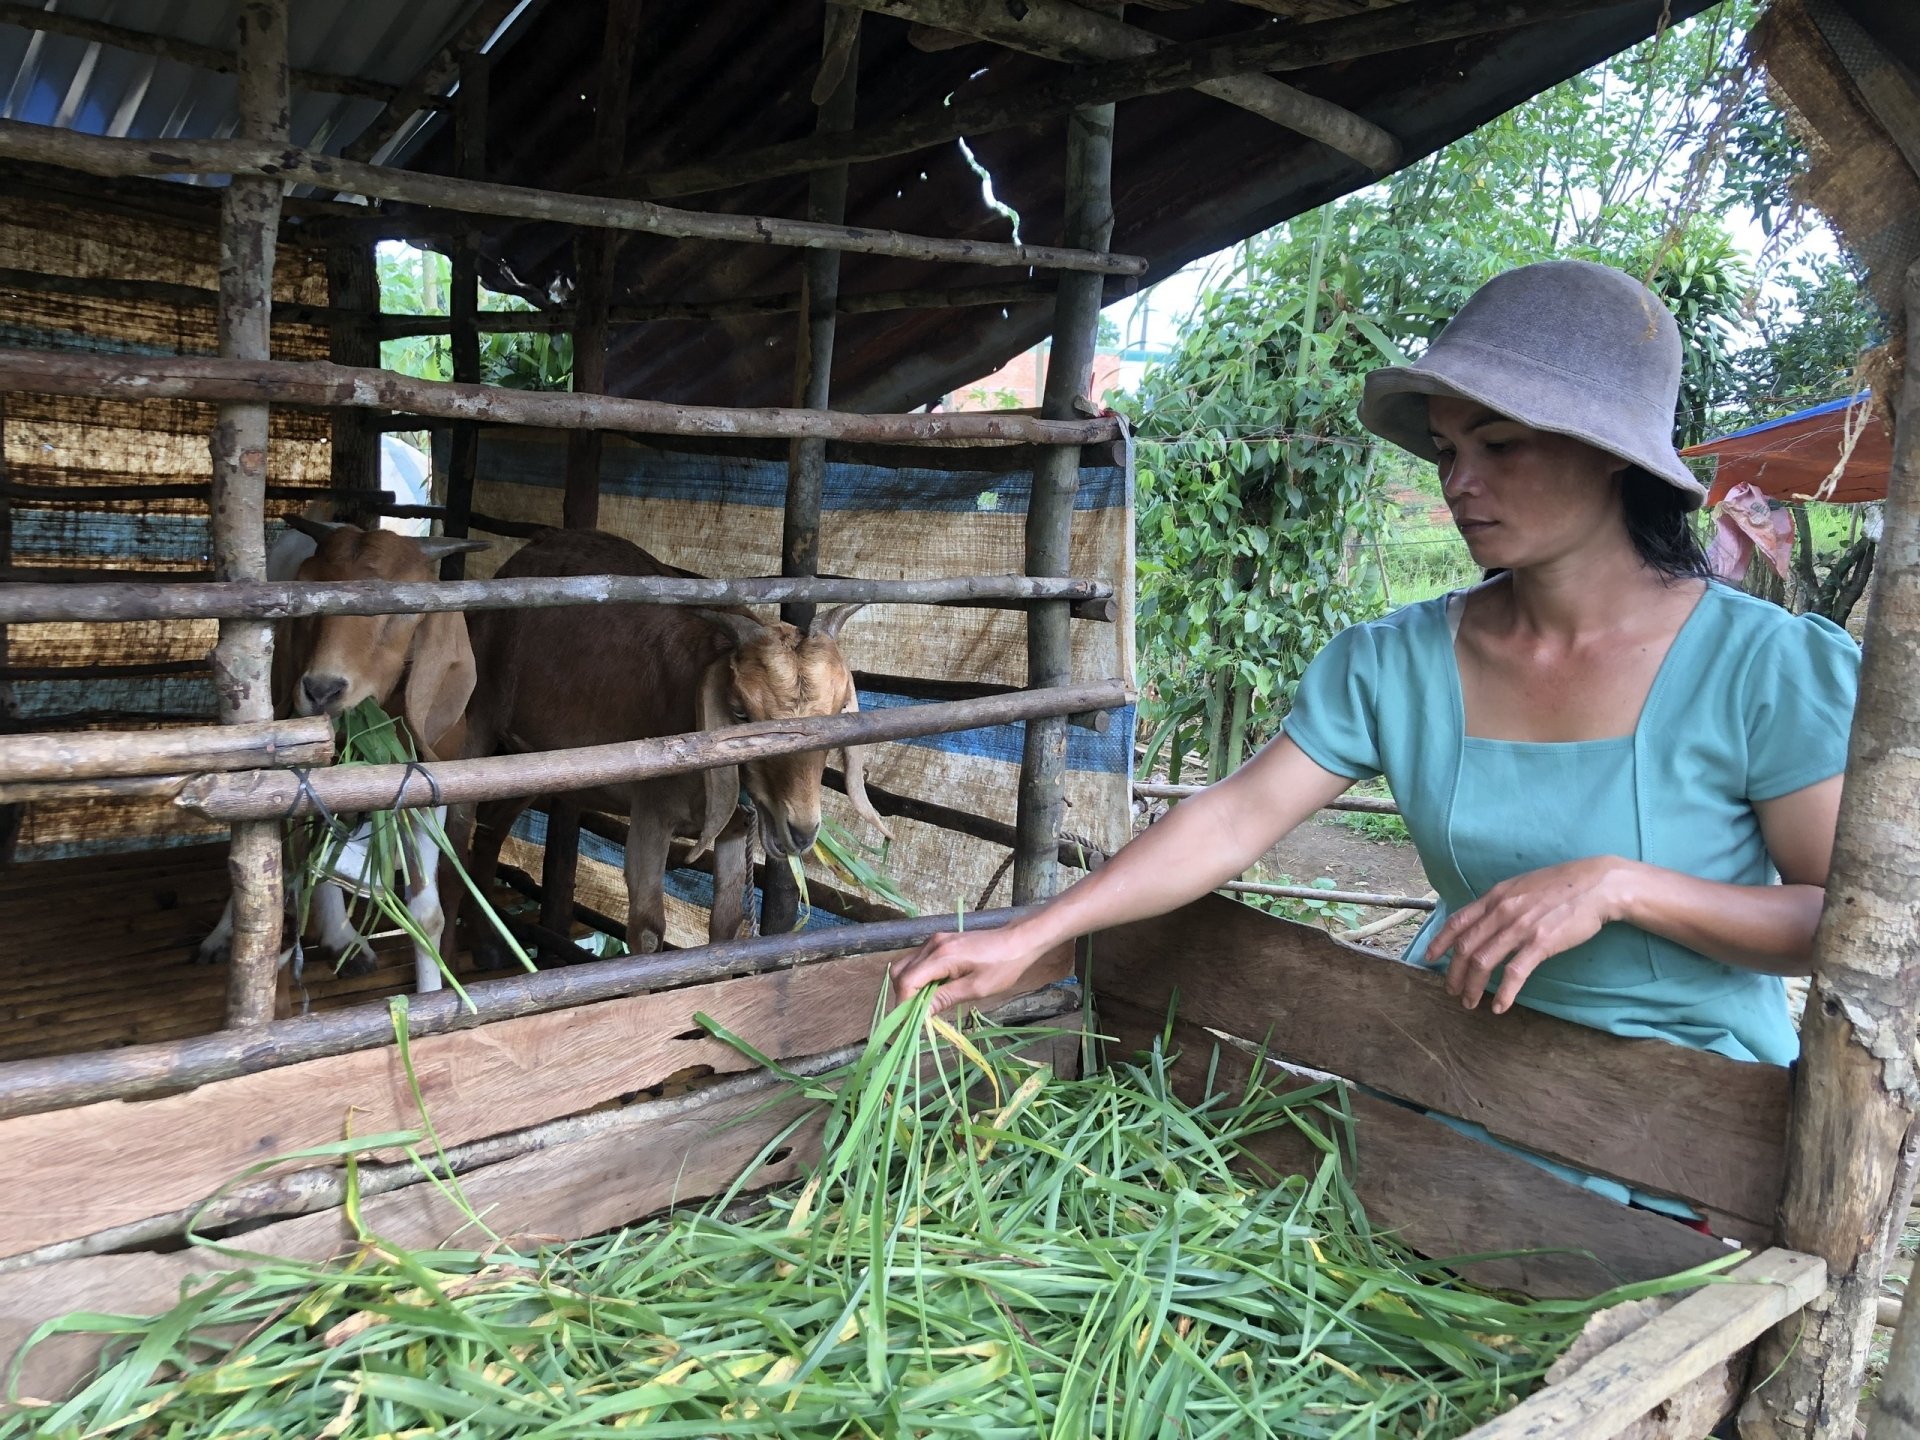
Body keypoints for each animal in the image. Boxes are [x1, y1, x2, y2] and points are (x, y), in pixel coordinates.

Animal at [193, 526, 487, 998]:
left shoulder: (432, 786)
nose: (322, 690)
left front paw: (433, 999)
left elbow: (427, 915)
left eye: (403, 611)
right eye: (308, 597)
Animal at [451, 526, 890, 960]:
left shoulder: (730, 829)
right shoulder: (651, 813)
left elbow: (726, 925)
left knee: (489, 830)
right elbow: (647, 930)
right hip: (477, 722)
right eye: (740, 711)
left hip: (526, 763)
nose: (800, 832)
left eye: (839, 711)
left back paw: (487, 943)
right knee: (456, 833)